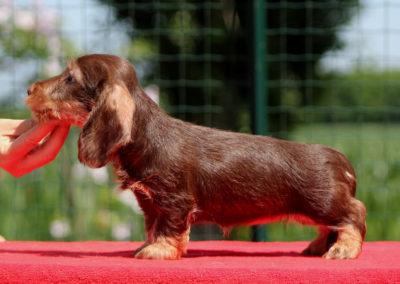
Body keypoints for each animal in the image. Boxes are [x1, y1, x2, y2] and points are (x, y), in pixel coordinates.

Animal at [25, 53, 368, 260]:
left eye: (70, 78)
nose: (29, 89)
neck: (148, 134)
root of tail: (339, 157)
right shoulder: (150, 201)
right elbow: (153, 226)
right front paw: (149, 245)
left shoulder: (174, 199)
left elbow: (169, 228)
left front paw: (159, 251)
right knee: (332, 225)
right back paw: (317, 247)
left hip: (323, 201)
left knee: (354, 215)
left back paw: (343, 250)